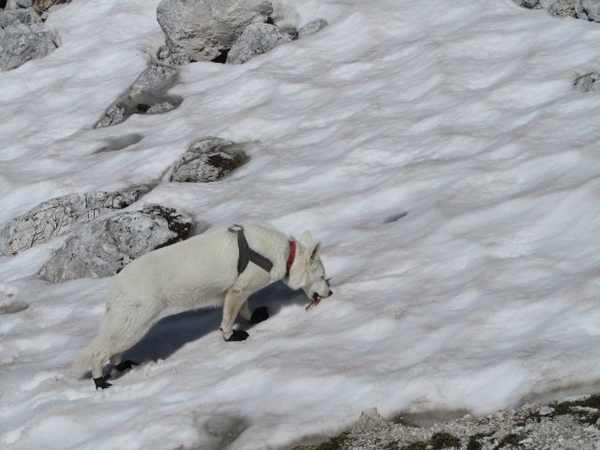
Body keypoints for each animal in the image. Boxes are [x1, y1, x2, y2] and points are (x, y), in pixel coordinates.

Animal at [75, 223, 332, 388]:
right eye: (322, 276)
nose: (330, 293)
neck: (283, 254)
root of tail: (115, 285)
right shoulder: (237, 291)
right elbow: (228, 319)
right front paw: (231, 336)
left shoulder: (238, 290)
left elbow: (245, 308)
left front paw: (252, 318)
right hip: (136, 325)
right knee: (99, 354)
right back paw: (100, 382)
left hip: (128, 326)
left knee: (113, 353)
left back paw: (123, 366)